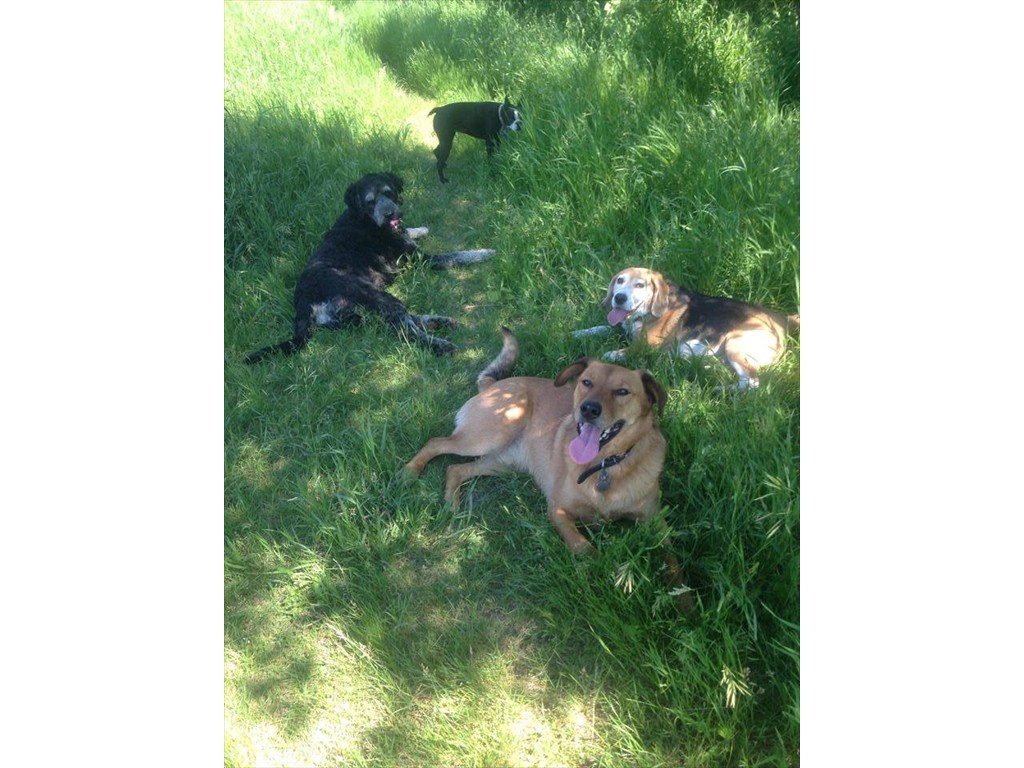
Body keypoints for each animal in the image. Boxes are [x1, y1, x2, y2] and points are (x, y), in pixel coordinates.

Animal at [243, 171, 491, 364]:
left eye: (389, 193)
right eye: (370, 200)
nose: (390, 214)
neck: (363, 217)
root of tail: (303, 302)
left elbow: (410, 231)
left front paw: (420, 229)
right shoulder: (421, 258)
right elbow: (456, 255)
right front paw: (484, 252)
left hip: (358, 313)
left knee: (398, 321)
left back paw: (438, 321)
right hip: (372, 295)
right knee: (405, 329)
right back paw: (440, 344)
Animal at [403, 327, 667, 557]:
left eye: (622, 392)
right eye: (586, 382)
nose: (588, 409)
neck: (604, 466)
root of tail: (494, 384)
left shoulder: (655, 521)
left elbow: (670, 557)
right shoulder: (558, 510)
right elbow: (583, 548)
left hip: (502, 464)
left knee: (455, 469)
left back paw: (453, 507)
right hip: (487, 436)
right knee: (435, 443)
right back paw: (410, 472)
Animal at [577, 268, 798, 391]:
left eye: (640, 285)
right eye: (620, 281)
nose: (619, 298)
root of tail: (781, 323)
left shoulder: (644, 346)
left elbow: (615, 353)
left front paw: (607, 354)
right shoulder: (621, 328)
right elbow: (602, 328)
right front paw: (579, 333)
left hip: (735, 342)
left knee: (752, 382)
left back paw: (720, 389)